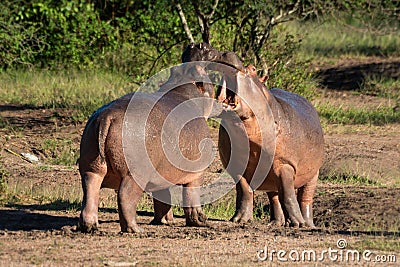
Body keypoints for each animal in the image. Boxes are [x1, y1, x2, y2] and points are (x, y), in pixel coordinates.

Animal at [77, 59, 219, 233]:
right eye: (203, 73)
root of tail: (107, 116)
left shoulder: (161, 173)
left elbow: (163, 197)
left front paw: (165, 221)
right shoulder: (197, 172)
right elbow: (192, 198)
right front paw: (200, 221)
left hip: (92, 167)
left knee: (90, 190)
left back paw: (90, 226)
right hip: (134, 174)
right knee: (125, 196)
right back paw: (135, 229)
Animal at [184, 44, 324, 228]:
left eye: (253, 69)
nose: (224, 52)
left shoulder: (285, 165)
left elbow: (288, 194)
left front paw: (297, 224)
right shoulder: (237, 166)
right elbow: (245, 191)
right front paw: (239, 219)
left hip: (313, 174)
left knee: (305, 198)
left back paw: (307, 224)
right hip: (270, 178)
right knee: (274, 197)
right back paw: (275, 223)